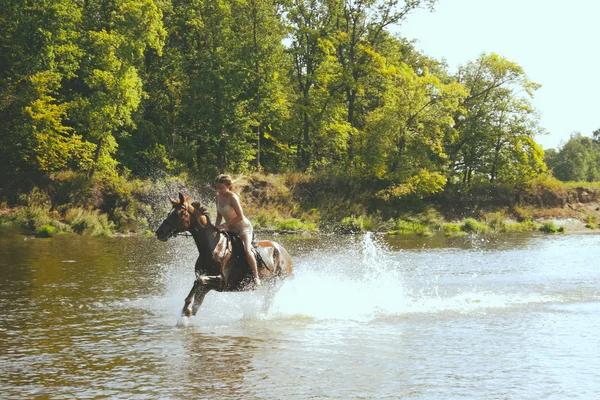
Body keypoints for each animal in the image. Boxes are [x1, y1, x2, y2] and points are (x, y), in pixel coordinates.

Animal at [156, 192, 294, 318]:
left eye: (178, 214)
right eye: (169, 213)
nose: (159, 232)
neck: (212, 247)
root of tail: (285, 253)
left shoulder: (222, 281)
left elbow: (199, 281)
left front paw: (186, 311)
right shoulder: (206, 284)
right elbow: (196, 295)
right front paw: (186, 312)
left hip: (275, 284)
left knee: (266, 304)